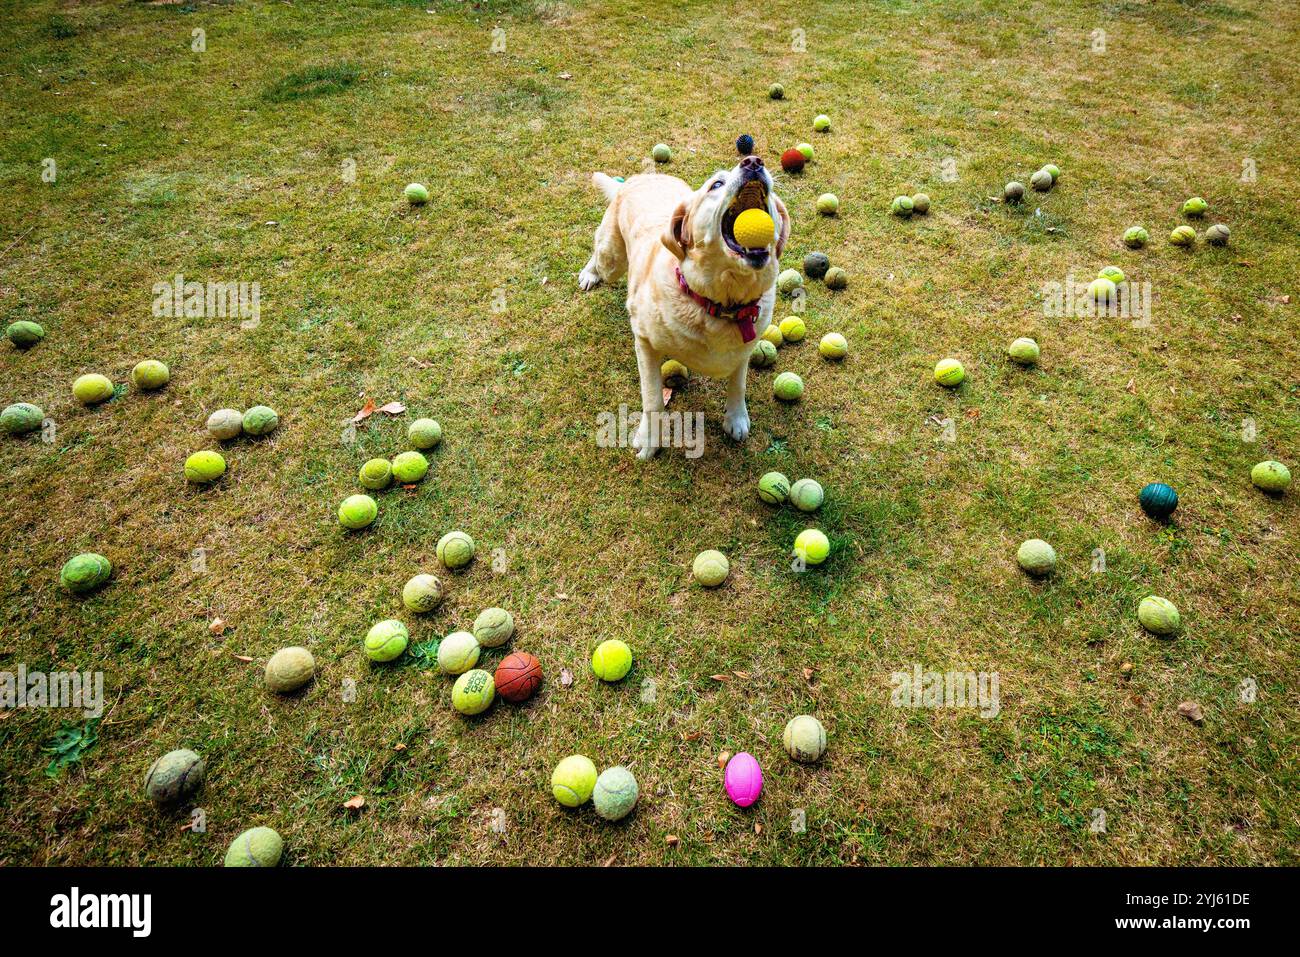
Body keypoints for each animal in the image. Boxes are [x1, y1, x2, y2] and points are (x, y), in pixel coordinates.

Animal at [582, 154, 785, 460]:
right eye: (716, 184)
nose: (753, 162)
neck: (718, 304)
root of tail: (636, 179)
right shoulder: (644, 342)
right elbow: (653, 398)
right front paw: (650, 439)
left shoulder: (745, 348)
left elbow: (738, 382)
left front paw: (736, 417)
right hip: (612, 260)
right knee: (598, 256)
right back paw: (589, 273)